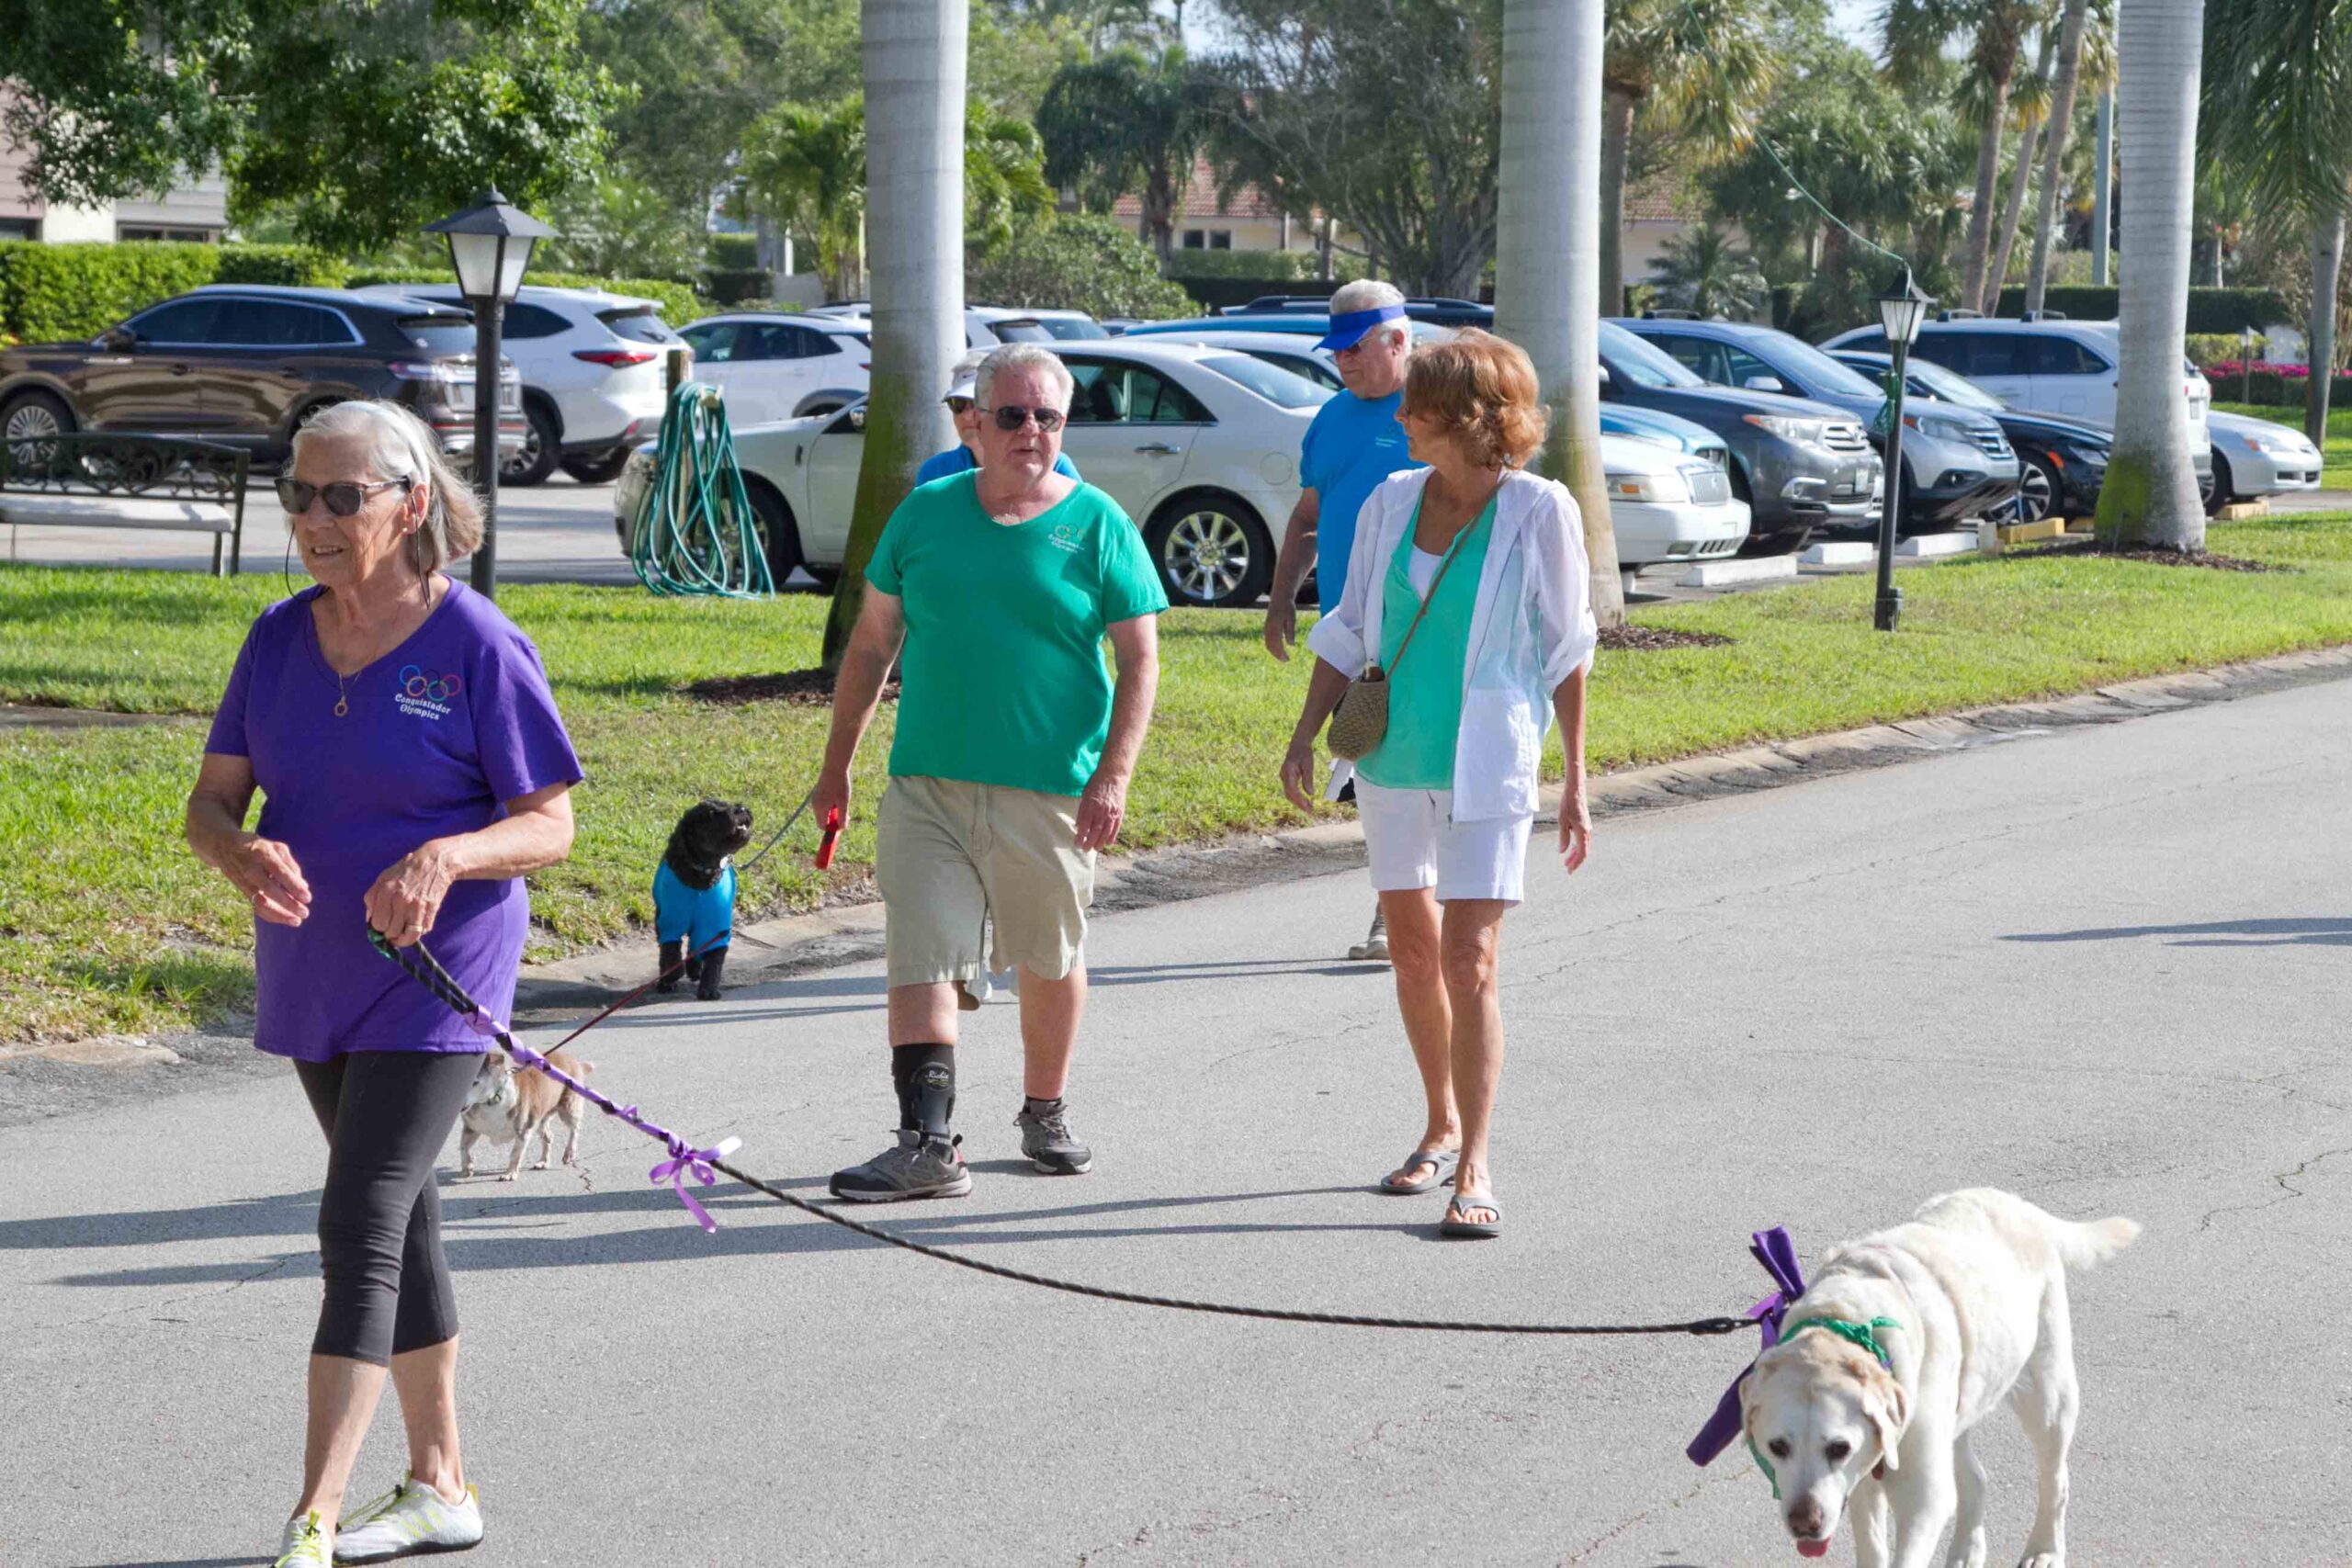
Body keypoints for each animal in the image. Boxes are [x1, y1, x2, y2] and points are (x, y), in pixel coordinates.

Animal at [458, 1049, 594, 1180]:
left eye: (474, 1082)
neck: (492, 1101)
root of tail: (572, 1060)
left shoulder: (523, 1131)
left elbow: (515, 1154)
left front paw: (510, 1174)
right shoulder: (471, 1128)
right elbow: (463, 1147)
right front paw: (467, 1167)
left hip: (569, 1108)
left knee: (575, 1129)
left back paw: (569, 1152)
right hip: (540, 1118)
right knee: (548, 1137)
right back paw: (543, 1162)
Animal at [654, 800, 753, 1000]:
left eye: (726, 804)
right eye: (711, 813)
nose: (742, 809)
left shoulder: (715, 926)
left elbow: (714, 961)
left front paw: (708, 990)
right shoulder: (669, 922)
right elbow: (670, 953)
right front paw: (671, 977)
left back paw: (694, 970)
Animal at [1739, 1188, 2139, 1568]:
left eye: (1839, 1447)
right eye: (1777, 1446)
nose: (1804, 1524)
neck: (1848, 1325)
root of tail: (2017, 1205)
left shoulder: (1921, 1495)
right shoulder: (1861, 1482)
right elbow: (1872, 1547)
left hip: (2047, 1396)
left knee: (2055, 1478)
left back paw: (2045, 1550)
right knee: (1975, 1478)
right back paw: (1967, 1550)